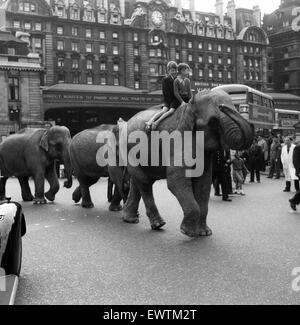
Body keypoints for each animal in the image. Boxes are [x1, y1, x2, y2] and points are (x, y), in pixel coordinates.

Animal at [119, 88, 253, 235]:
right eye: (213, 121)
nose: (223, 107)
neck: (190, 105)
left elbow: (204, 183)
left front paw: (204, 233)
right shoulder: (177, 141)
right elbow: (176, 180)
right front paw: (188, 232)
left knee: (138, 181)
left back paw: (130, 219)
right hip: (127, 150)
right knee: (144, 182)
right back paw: (158, 224)